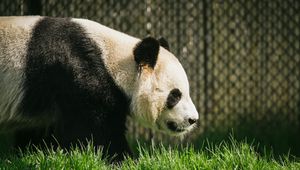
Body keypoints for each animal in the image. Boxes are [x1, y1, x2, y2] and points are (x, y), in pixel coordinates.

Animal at [1, 16, 199, 161]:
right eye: (175, 95)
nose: (192, 120)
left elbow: (38, 132)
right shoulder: (78, 73)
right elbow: (94, 129)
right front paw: (125, 160)